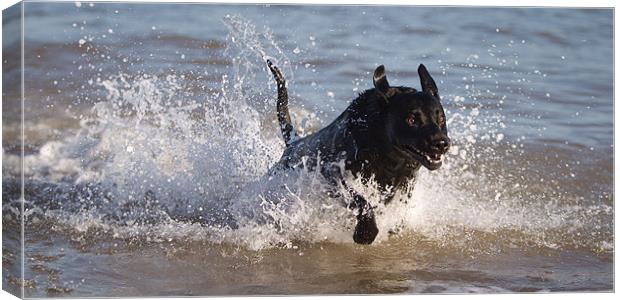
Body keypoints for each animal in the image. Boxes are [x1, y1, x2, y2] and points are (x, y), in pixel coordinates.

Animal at [266, 60, 450, 244]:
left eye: (441, 118)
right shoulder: (333, 173)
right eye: (411, 119)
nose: (442, 143)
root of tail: (293, 143)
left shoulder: (407, 182)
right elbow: (360, 200)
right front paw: (365, 232)